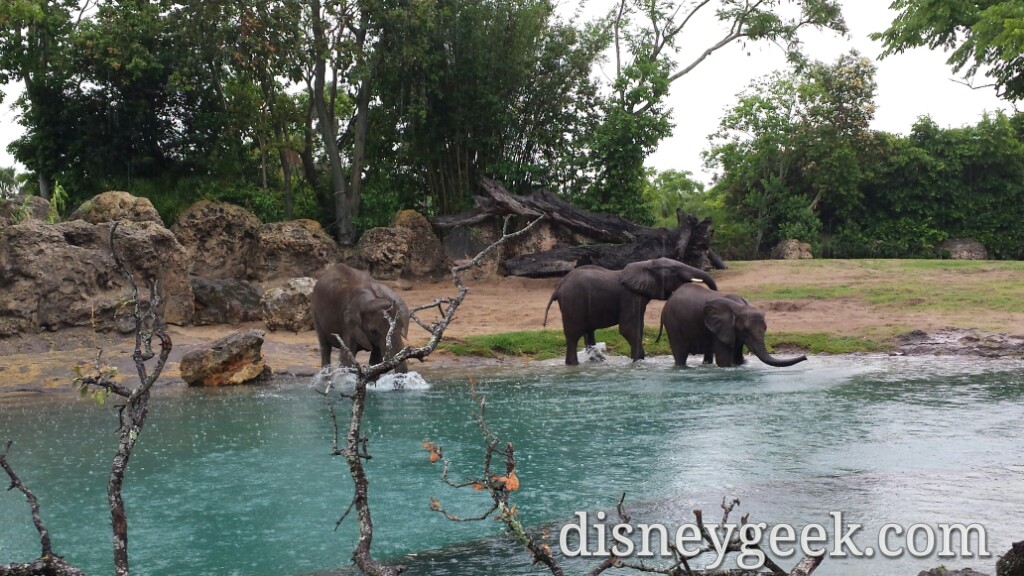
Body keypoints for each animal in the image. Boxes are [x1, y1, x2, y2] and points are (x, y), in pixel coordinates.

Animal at [544, 256, 720, 362]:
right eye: (674, 271)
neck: (646, 264)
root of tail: (558, 288)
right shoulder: (630, 297)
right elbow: (628, 329)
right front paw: (638, 360)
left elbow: (638, 327)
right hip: (572, 302)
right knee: (573, 336)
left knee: (588, 332)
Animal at [655, 282, 806, 366]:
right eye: (746, 330)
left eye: (765, 329)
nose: (805, 357)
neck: (740, 306)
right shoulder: (723, 328)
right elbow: (724, 360)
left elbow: (737, 356)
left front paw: (741, 363)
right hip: (673, 323)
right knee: (680, 353)